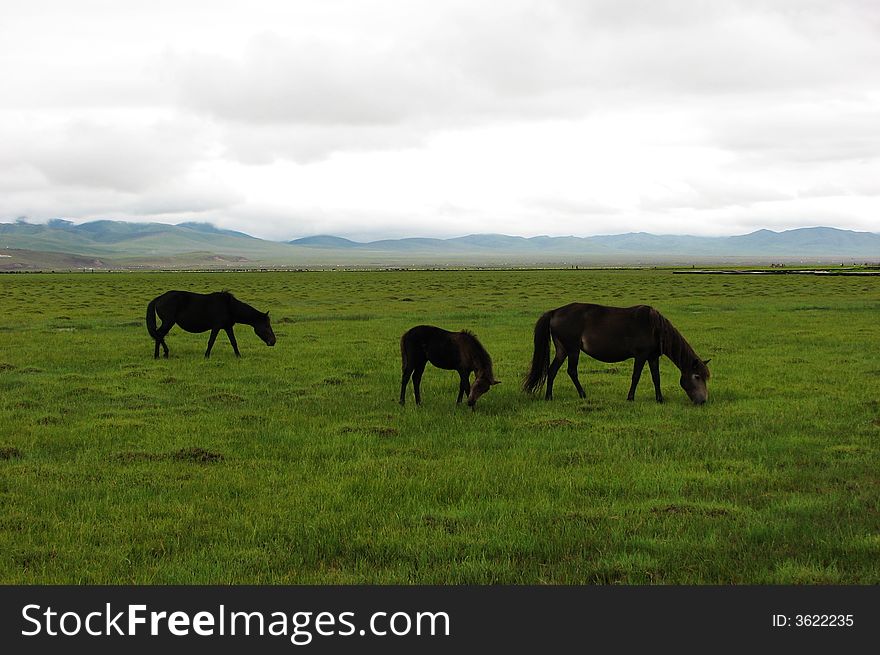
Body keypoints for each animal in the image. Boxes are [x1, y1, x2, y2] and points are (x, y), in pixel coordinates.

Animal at [146, 290, 276, 358]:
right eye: (266, 325)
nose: (273, 341)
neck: (229, 307)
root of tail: (158, 298)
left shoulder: (228, 327)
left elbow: (234, 342)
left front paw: (238, 356)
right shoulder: (216, 327)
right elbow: (211, 341)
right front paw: (206, 356)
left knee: (159, 335)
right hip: (168, 322)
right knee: (159, 335)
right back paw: (161, 354)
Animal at [524, 304, 712, 404]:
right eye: (696, 376)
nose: (703, 400)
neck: (655, 328)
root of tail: (554, 312)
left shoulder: (652, 357)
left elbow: (656, 377)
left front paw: (660, 399)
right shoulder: (641, 355)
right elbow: (636, 376)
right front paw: (630, 398)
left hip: (562, 350)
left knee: (552, 370)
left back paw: (549, 397)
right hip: (573, 349)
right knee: (571, 371)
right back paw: (583, 394)